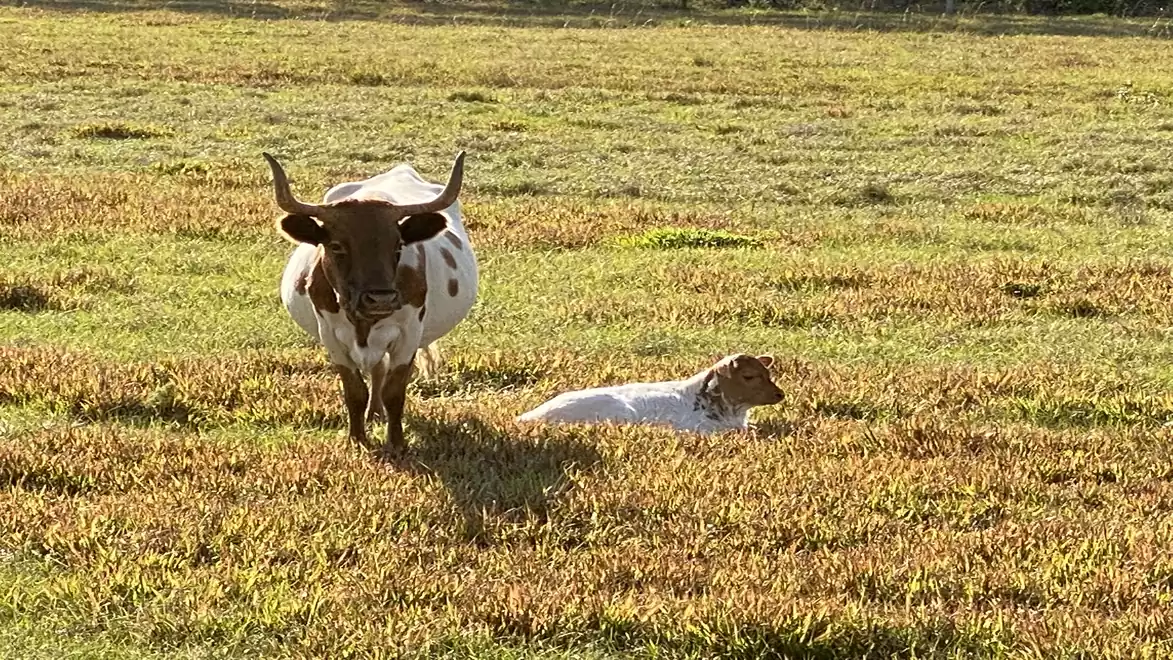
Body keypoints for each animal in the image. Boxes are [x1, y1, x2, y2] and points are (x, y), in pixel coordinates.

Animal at [264, 151, 477, 456]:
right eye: (337, 246)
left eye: (398, 246)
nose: (381, 298)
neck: (362, 320)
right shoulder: (330, 336)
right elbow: (354, 391)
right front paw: (357, 439)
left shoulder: (409, 335)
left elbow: (394, 391)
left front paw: (396, 443)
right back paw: (373, 413)